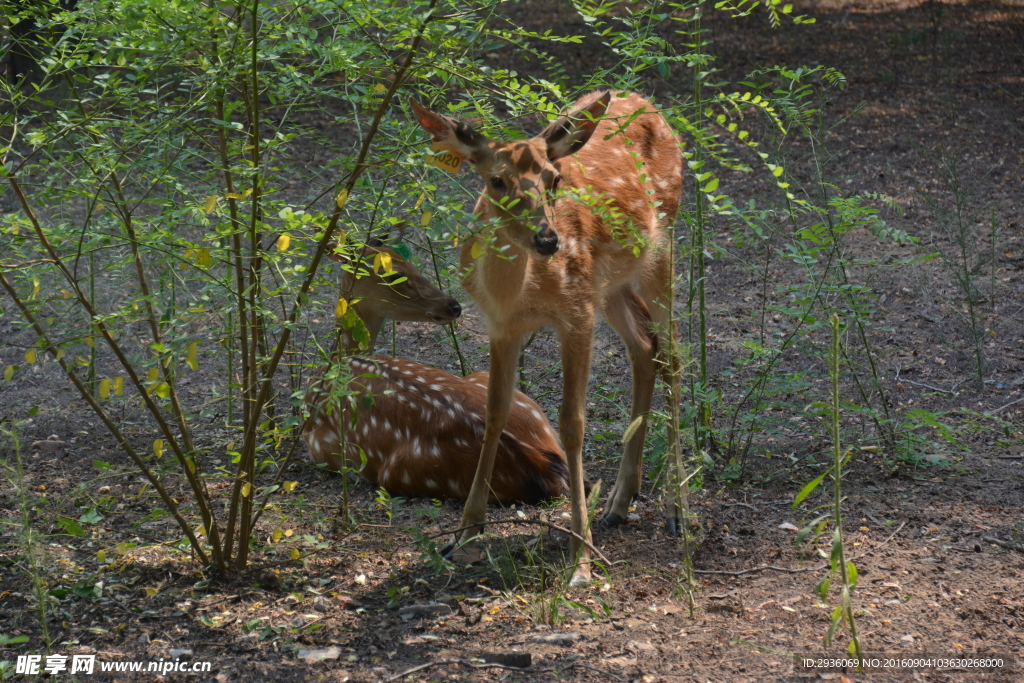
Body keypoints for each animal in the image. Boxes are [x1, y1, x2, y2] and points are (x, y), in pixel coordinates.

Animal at [301, 240, 577, 501]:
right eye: (394, 274)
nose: (454, 306)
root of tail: (544, 465)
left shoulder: (319, 447)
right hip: (506, 391)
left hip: (399, 472)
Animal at [411, 88, 684, 585]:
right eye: (496, 181)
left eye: (553, 179)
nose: (548, 240)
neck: (519, 294)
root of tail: (646, 101)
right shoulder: (501, 325)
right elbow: (494, 412)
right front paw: (464, 535)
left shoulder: (576, 314)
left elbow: (572, 424)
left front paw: (581, 560)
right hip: (609, 283)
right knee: (645, 345)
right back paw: (619, 503)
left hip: (661, 246)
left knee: (672, 351)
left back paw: (676, 512)